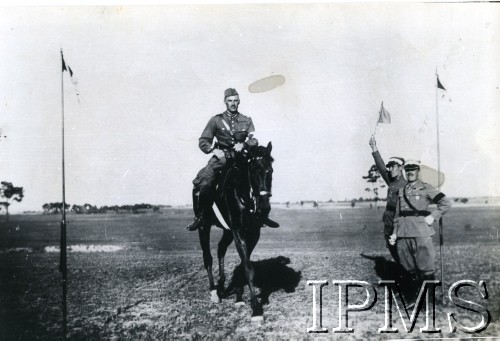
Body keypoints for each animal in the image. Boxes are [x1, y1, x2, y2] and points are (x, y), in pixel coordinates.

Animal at [195, 140, 274, 318]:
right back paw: (214, 291)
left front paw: (239, 296)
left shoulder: (253, 233)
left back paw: (222, 285)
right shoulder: (238, 231)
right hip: (204, 227)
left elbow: (244, 263)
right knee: (207, 257)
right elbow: (247, 267)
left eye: (271, 170)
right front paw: (256, 309)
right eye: (255, 169)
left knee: (221, 249)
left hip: (227, 231)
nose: (264, 207)